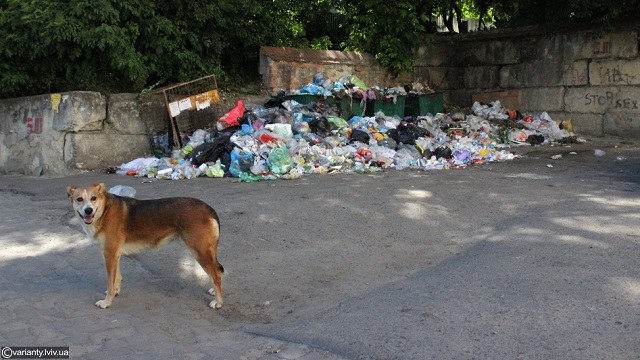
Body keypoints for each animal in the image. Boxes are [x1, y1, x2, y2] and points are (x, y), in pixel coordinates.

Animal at [66, 183, 224, 310]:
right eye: (79, 199)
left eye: (93, 198)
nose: (88, 210)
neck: (104, 211)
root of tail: (209, 209)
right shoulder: (115, 255)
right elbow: (117, 278)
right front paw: (115, 292)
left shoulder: (109, 255)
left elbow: (110, 282)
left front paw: (107, 302)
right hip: (207, 251)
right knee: (215, 271)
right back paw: (213, 290)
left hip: (200, 252)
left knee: (216, 274)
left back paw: (219, 301)